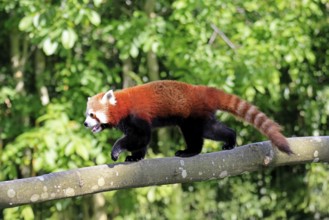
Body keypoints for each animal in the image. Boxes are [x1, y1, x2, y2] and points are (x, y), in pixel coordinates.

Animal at [83, 80, 290, 161]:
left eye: (92, 115)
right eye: (87, 114)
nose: (85, 124)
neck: (122, 105)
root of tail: (200, 90)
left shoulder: (137, 115)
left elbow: (141, 136)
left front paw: (117, 150)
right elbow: (141, 141)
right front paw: (136, 157)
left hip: (192, 117)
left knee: (197, 135)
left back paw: (189, 151)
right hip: (201, 116)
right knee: (213, 129)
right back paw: (230, 140)